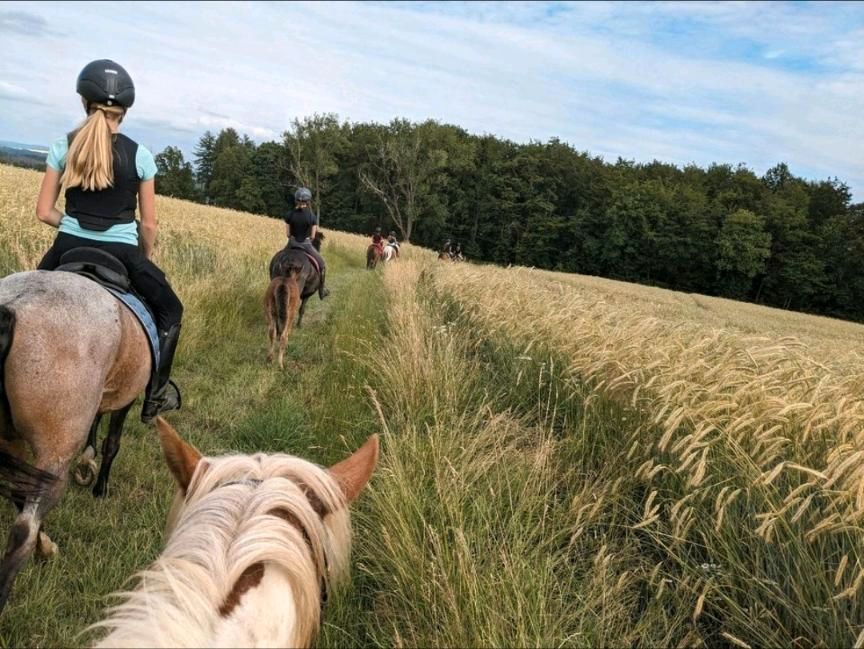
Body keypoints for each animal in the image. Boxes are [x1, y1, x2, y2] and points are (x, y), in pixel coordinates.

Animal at [0, 268, 152, 612]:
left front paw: (89, 465)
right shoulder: (126, 398)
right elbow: (112, 444)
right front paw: (100, 488)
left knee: (22, 499)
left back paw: (45, 545)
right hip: (55, 451)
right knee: (22, 531)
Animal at [264, 230, 322, 368]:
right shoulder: (306, 296)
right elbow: (302, 309)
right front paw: (299, 325)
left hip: (271, 311)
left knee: (272, 331)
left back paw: (270, 358)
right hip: (289, 312)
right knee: (284, 335)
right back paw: (280, 364)